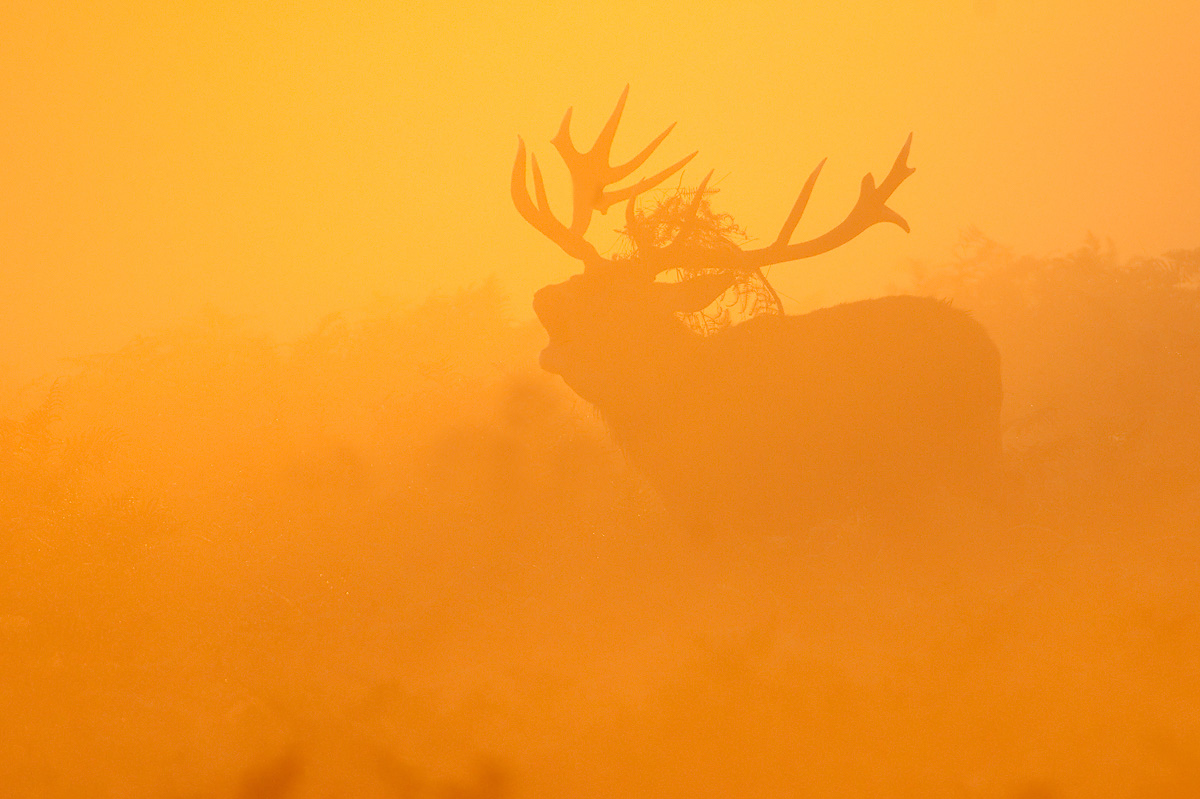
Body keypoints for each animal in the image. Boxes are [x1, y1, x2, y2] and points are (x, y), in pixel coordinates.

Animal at [512, 88, 1002, 531]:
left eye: (622, 300)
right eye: (579, 280)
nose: (542, 297)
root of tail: (986, 346)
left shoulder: (758, 506)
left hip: (956, 463)